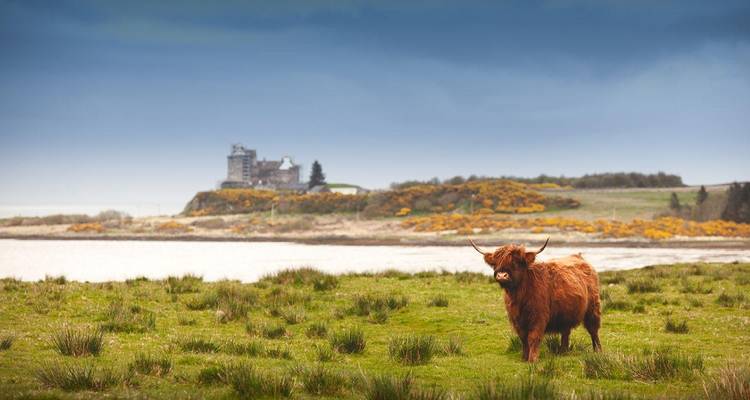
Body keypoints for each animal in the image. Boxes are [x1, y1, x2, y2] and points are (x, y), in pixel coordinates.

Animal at [470, 238, 602, 362]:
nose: (502, 275)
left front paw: (532, 359)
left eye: (516, 261)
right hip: (566, 313)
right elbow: (523, 338)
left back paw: (598, 351)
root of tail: (580, 258)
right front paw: (524, 357)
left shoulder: (538, 316)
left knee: (593, 330)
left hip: (593, 308)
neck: (520, 296)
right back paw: (562, 351)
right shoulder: (517, 319)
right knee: (566, 332)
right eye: (496, 263)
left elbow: (533, 337)